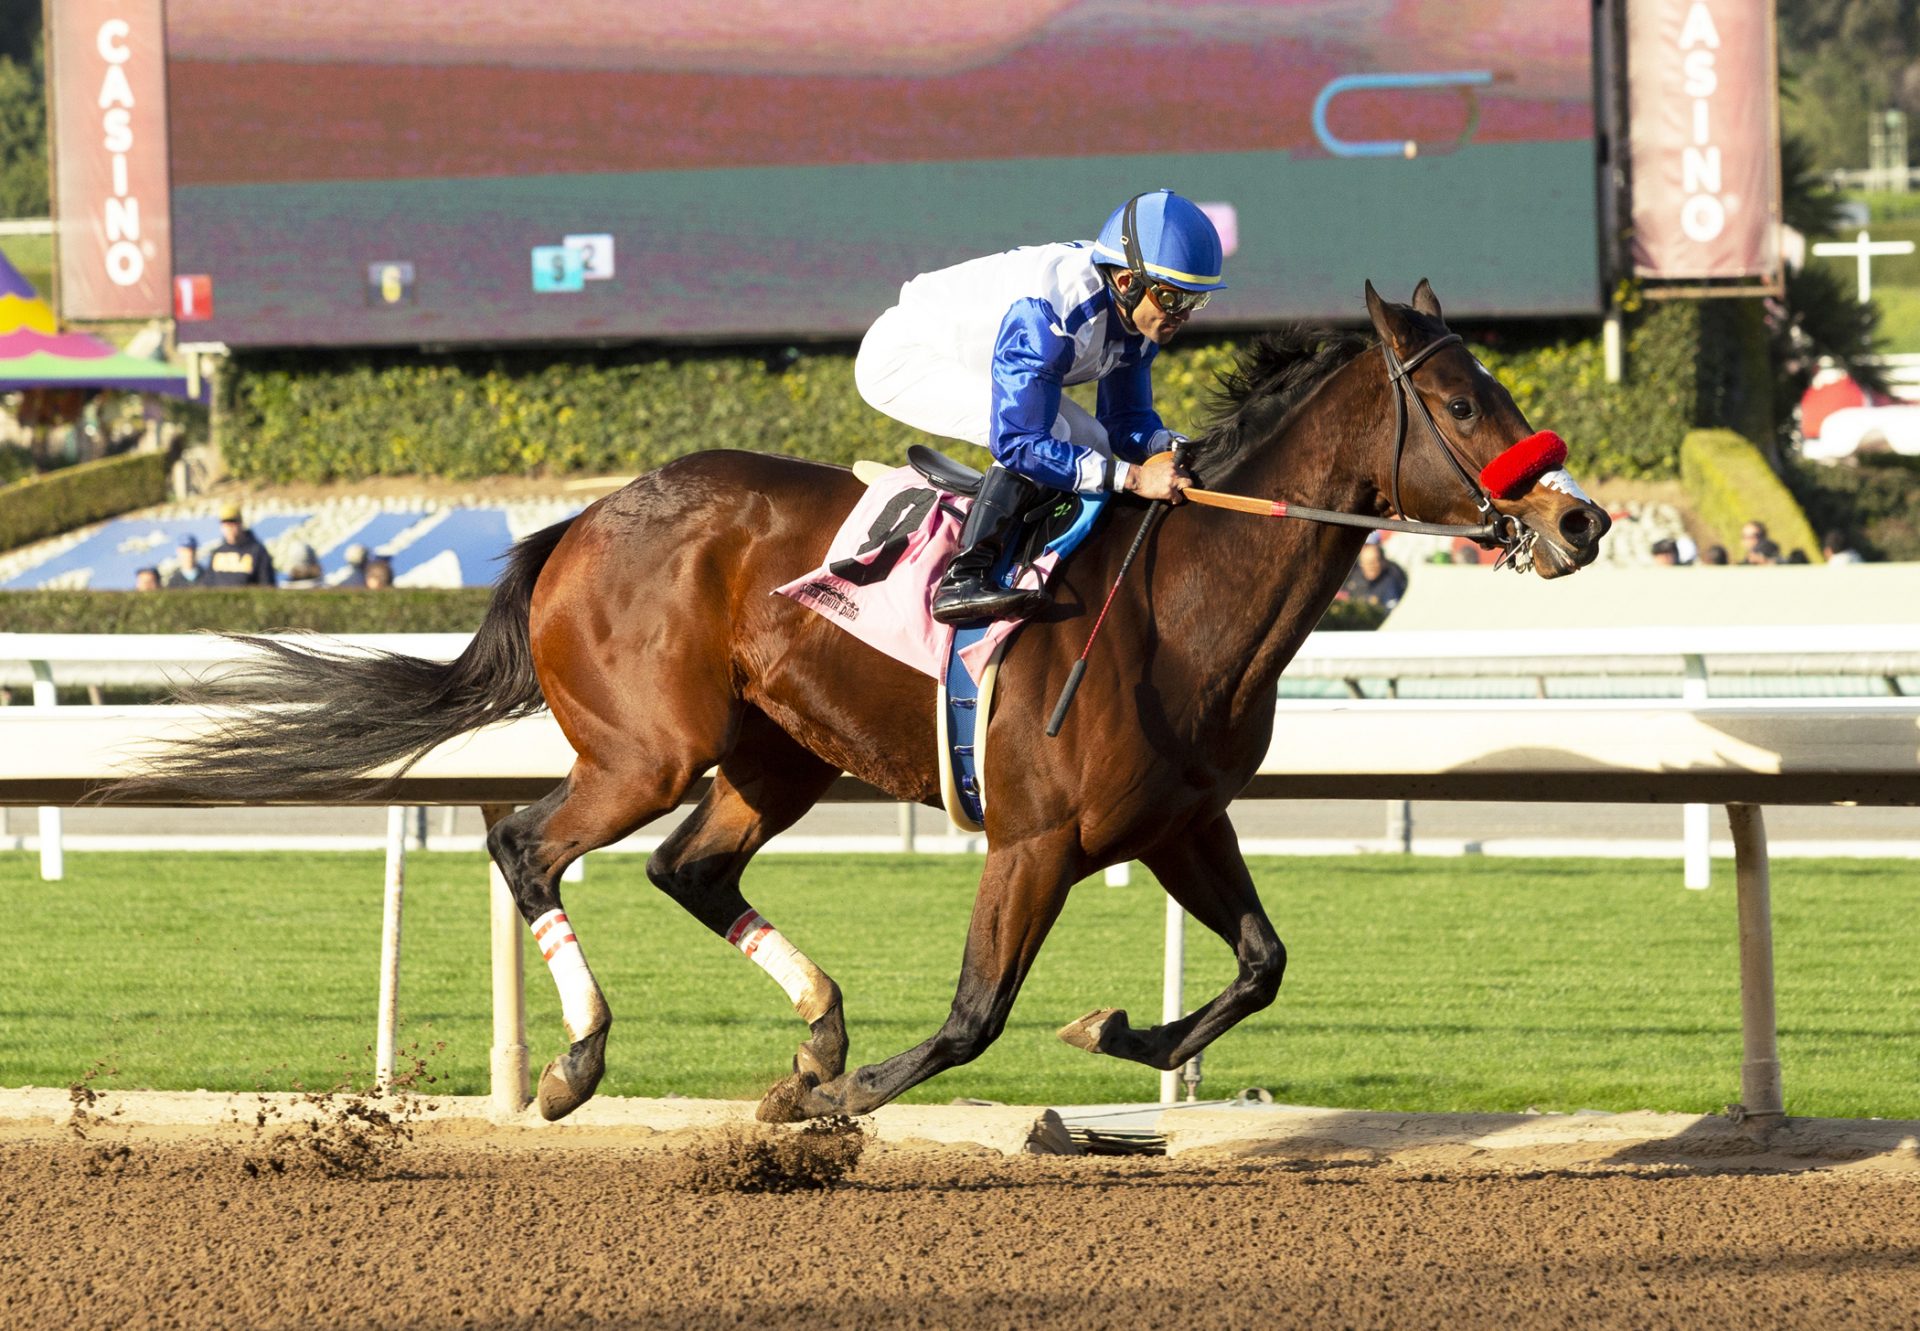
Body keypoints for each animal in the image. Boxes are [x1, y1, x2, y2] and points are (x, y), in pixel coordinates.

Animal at [131, 282, 1605, 1121]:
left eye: (1503, 385)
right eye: (1462, 399)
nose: (1582, 518)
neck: (1179, 602)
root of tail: (581, 521)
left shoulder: (1181, 821)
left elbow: (1260, 961)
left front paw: (1118, 1028)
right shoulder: (1038, 837)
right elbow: (973, 1013)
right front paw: (828, 1108)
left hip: (776, 752)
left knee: (687, 867)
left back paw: (816, 1023)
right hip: (649, 744)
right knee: (527, 843)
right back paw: (583, 1059)